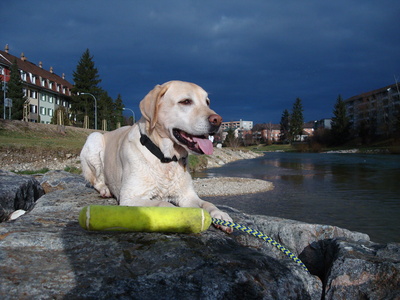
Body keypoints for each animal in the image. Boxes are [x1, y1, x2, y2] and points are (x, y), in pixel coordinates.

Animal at [80, 81, 233, 233]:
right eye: (186, 101)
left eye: (207, 102)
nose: (218, 120)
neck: (165, 157)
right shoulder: (130, 197)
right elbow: (163, 203)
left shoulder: (187, 195)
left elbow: (207, 203)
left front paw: (220, 215)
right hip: (94, 139)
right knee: (96, 179)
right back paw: (105, 189)